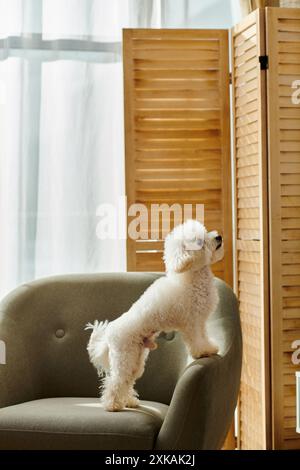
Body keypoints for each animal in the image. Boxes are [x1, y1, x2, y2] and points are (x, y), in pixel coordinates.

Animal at [85, 220, 224, 412]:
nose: (219, 237)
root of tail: (109, 336)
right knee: (115, 382)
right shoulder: (191, 323)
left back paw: (130, 401)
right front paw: (202, 352)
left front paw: (209, 348)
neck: (191, 276)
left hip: (137, 358)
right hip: (124, 357)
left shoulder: (200, 322)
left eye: (206, 232)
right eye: (200, 242)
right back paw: (112, 405)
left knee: (127, 381)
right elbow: (196, 340)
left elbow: (203, 337)